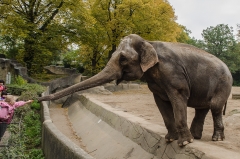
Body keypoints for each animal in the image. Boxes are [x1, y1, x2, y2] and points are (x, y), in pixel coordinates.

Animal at [37, 33, 232, 147]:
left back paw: (215, 139)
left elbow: (178, 98)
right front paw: (170, 139)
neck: (149, 42)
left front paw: (184, 143)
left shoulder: (173, 74)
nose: (38, 98)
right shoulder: (156, 84)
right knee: (202, 109)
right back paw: (197, 137)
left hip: (223, 84)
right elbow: (161, 103)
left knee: (214, 107)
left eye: (123, 59)